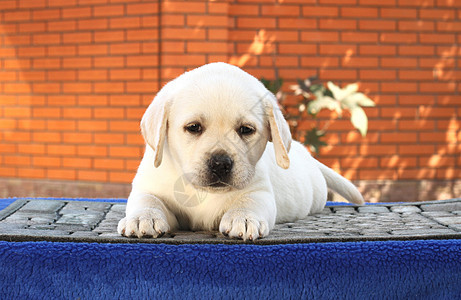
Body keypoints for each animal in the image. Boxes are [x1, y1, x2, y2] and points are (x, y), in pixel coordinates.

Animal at [117, 62, 362, 241]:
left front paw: (242, 219)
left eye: (246, 130)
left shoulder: (259, 190)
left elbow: (248, 201)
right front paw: (142, 218)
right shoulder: (148, 187)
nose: (220, 163)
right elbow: (148, 199)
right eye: (193, 127)